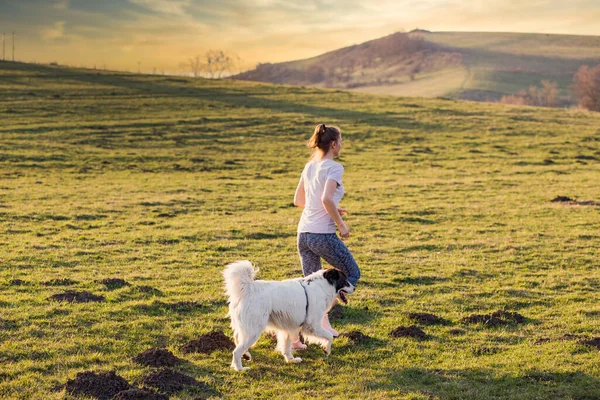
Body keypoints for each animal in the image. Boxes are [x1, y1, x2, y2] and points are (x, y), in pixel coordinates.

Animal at [223, 260, 354, 370]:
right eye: (345, 280)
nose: (354, 287)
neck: (322, 287)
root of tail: (248, 287)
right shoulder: (312, 326)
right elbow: (330, 336)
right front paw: (327, 350)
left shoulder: (289, 328)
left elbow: (286, 346)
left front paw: (291, 360)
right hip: (254, 331)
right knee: (236, 351)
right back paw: (240, 368)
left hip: (246, 329)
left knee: (237, 339)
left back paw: (245, 356)